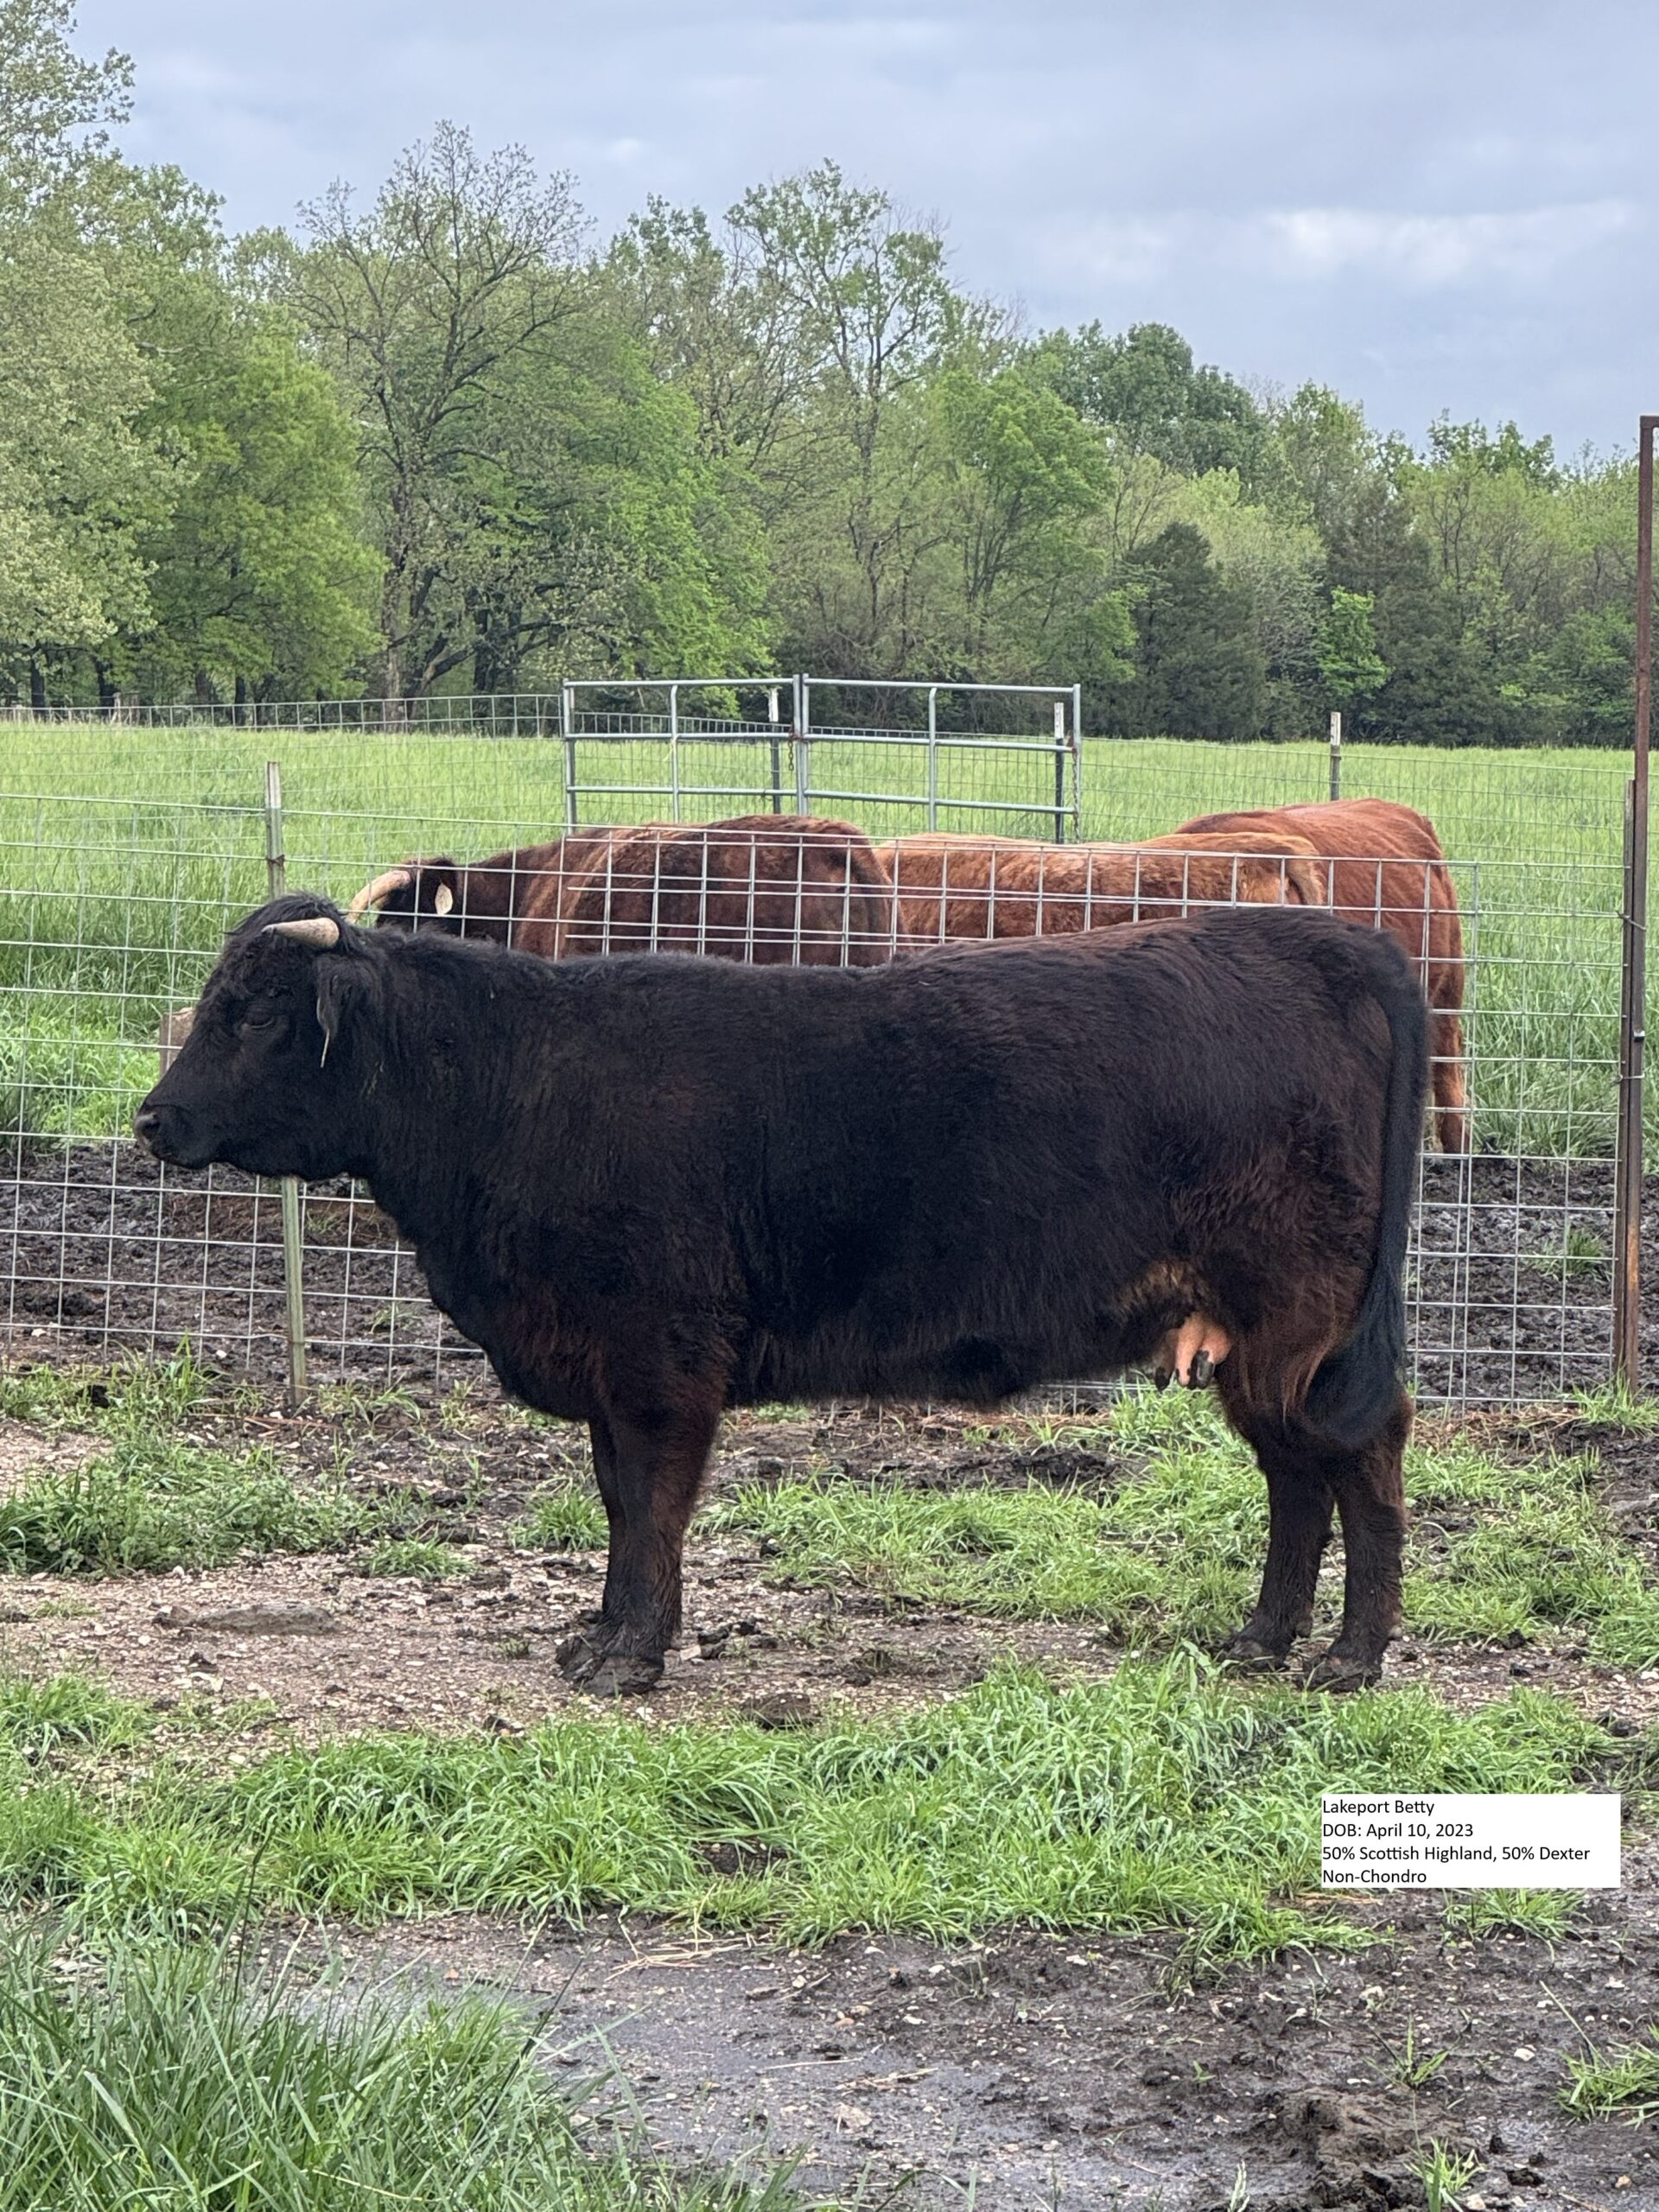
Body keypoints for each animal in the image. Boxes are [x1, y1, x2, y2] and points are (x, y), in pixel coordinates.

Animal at [134, 892, 1427, 1699]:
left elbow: (652, 1507)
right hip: (1253, 1346)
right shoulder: (610, 1372)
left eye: (252, 1011)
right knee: (1296, 1479)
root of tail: (1332, 944)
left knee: (1357, 1465)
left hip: (1303, 1327)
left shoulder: (660, 1363)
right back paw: (1260, 1637)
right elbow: (617, 1504)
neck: (512, 1088)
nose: (151, 1118)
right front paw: (600, 1633)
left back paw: (1350, 1658)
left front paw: (631, 1654)